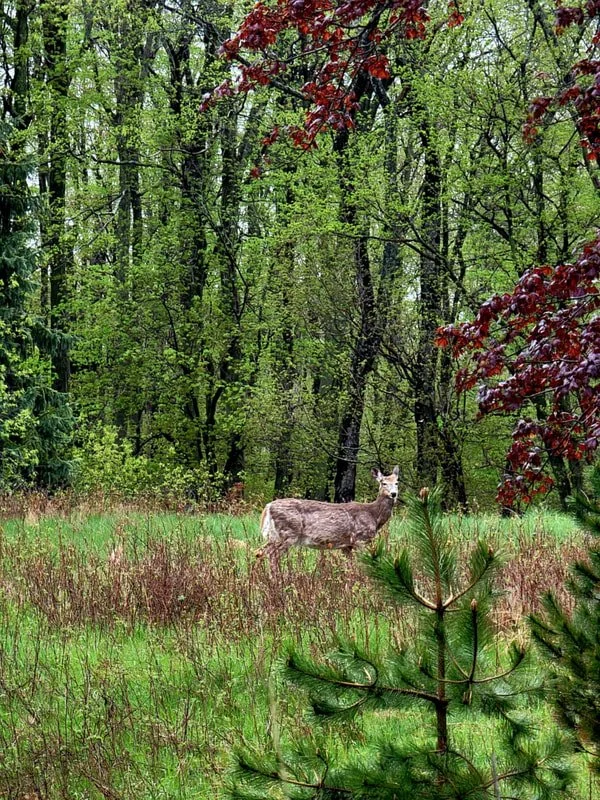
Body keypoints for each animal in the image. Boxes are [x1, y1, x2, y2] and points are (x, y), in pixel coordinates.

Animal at [257, 466, 399, 565]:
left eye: (397, 482)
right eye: (383, 482)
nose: (393, 494)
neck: (374, 515)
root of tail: (268, 507)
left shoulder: (347, 546)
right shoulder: (361, 539)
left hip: (274, 536)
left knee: (259, 552)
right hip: (288, 533)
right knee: (272, 555)